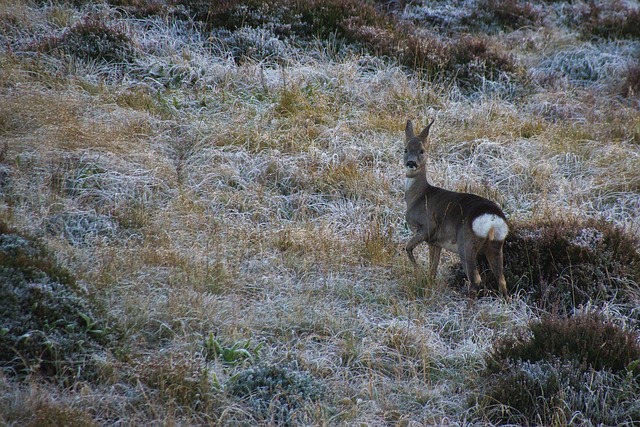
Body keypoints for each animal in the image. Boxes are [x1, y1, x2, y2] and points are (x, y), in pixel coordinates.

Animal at [402, 118, 508, 300]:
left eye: (422, 151)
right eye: (405, 149)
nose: (411, 163)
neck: (418, 196)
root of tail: (492, 219)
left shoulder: (428, 227)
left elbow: (408, 248)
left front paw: (417, 271)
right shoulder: (435, 242)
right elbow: (432, 270)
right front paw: (427, 283)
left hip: (466, 242)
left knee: (476, 278)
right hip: (496, 245)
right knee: (501, 279)